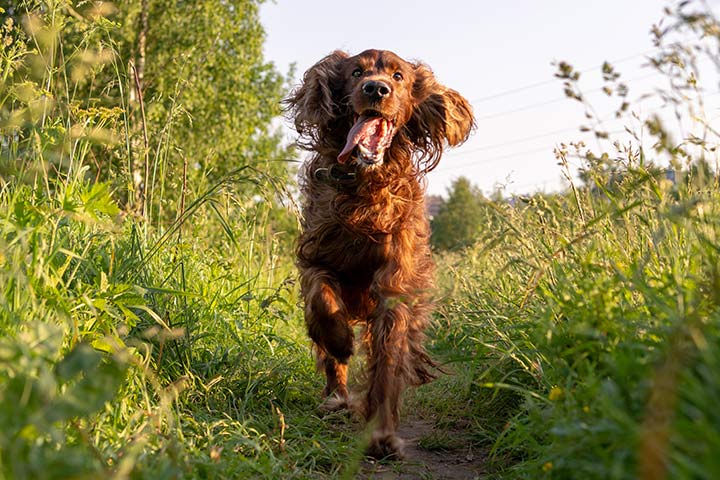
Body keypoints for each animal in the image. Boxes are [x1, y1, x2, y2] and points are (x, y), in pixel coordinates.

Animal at [284, 48, 476, 458]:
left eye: (399, 76)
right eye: (356, 72)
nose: (376, 89)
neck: (365, 188)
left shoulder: (394, 284)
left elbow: (388, 360)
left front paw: (382, 432)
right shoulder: (316, 257)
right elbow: (323, 303)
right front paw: (341, 341)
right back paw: (336, 396)